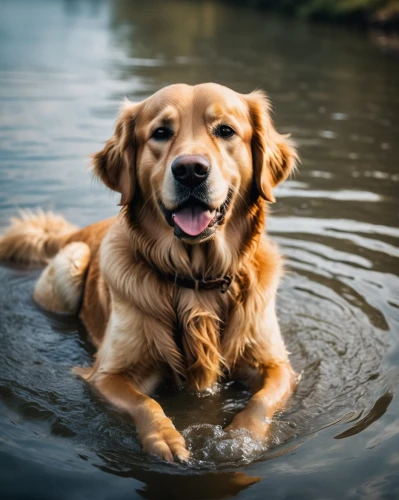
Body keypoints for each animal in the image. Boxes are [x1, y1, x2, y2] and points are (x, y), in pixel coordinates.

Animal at [0, 82, 298, 460]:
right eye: (160, 133)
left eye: (226, 131)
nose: (190, 170)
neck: (195, 278)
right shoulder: (107, 375)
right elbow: (146, 403)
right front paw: (165, 439)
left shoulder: (277, 366)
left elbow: (261, 400)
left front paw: (242, 438)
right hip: (72, 261)